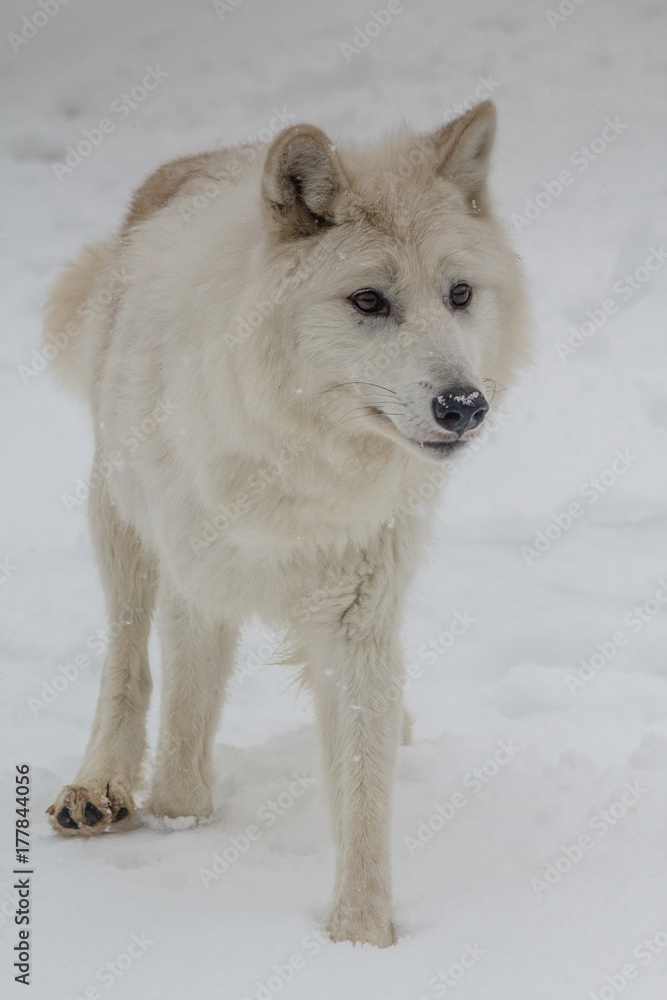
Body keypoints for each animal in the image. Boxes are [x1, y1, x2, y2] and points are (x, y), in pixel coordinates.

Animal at [43, 100, 531, 947]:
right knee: (128, 666)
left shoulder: (360, 617)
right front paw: (173, 808)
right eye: (368, 301)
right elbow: (180, 762)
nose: (464, 405)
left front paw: (362, 938)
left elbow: (364, 791)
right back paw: (99, 786)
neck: (302, 463)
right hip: (121, 524)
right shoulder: (198, 576)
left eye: (460, 294)